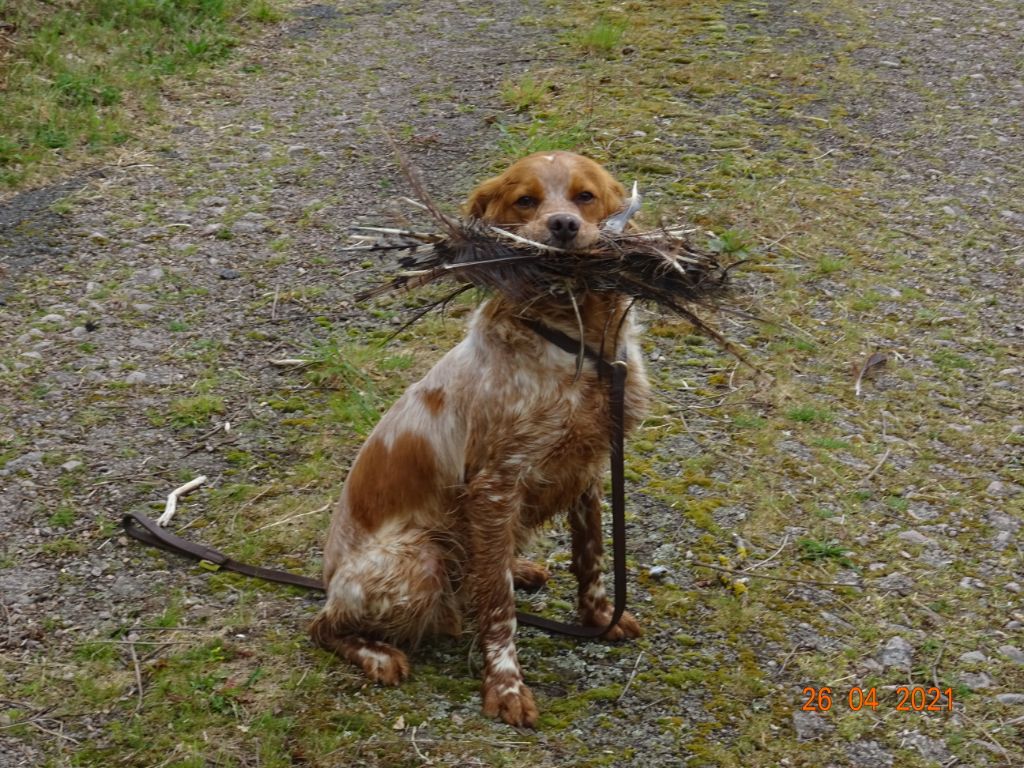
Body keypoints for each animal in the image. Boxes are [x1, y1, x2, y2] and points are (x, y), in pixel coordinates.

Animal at [307, 151, 651, 729]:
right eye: (525, 201)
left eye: (584, 196)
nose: (563, 227)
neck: (573, 342)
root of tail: (329, 576)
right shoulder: (496, 485)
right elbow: (497, 606)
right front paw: (505, 686)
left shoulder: (589, 463)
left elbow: (592, 556)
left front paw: (601, 617)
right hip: (416, 560)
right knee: (323, 624)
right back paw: (379, 655)